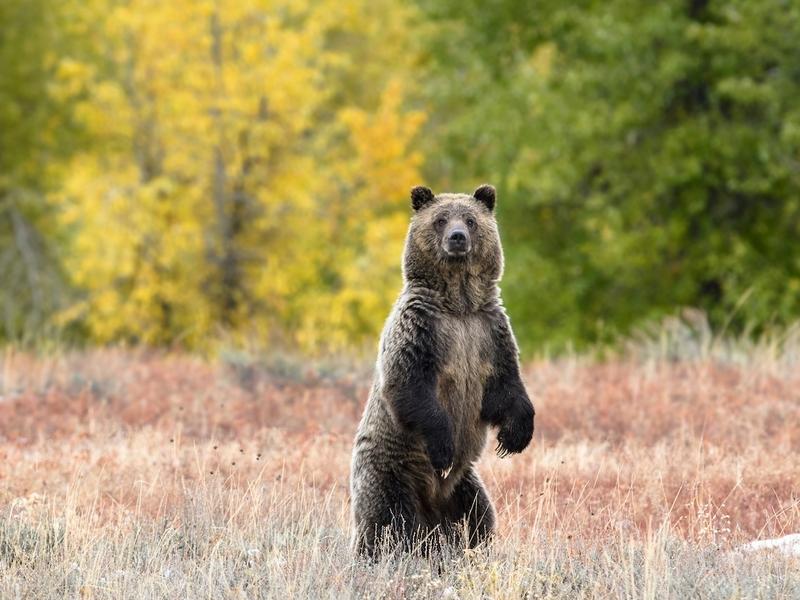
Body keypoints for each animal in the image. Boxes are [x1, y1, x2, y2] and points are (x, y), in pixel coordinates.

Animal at [352, 184, 536, 556]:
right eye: (440, 219)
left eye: (470, 219)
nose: (457, 237)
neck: (459, 306)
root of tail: (431, 506)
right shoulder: (421, 329)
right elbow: (409, 386)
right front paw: (444, 447)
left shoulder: (488, 333)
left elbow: (506, 384)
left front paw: (514, 436)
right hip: (393, 472)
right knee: (386, 521)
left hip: (464, 486)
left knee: (480, 515)